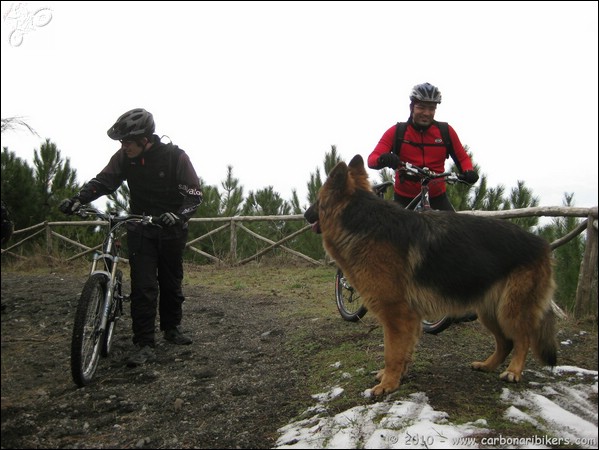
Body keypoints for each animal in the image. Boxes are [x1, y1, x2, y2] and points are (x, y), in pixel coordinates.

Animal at [304, 156, 556, 396]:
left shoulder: (396, 314)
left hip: (509, 309)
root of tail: (541, 243)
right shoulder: (409, 317)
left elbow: (391, 352)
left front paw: (388, 384)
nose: (306, 215)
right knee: (505, 342)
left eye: (317, 199)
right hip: (489, 310)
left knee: (523, 338)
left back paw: (514, 371)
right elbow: (404, 351)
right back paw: (488, 365)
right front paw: (396, 376)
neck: (362, 222)